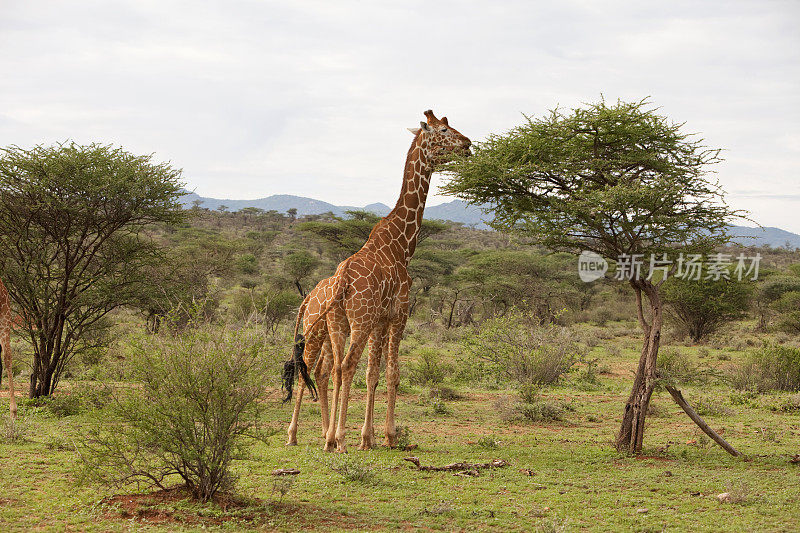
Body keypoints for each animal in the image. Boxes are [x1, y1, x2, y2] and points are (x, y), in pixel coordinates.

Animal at [282, 110, 468, 450]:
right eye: (444, 130)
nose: (468, 144)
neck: (402, 244)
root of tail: (338, 281)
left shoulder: (379, 320)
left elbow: (372, 373)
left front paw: (367, 437)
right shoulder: (397, 315)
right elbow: (390, 373)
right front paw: (387, 436)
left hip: (338, 324)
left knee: (329, 370)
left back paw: (327, 438)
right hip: (354, 322)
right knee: (340, 367)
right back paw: (331, 437)